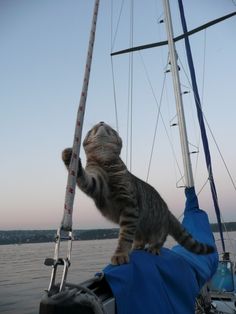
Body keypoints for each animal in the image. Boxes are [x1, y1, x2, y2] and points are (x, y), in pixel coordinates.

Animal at [61, 121, 215, 264]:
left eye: (112, 129)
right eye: (91, 130)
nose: (101, 121)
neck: (105, 160)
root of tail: (168, 212)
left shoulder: (129, 204)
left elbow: (124, 237)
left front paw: (120, 254)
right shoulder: (95, 183)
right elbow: (83, 176)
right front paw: (69, 157)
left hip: (158, 228)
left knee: (160, 239)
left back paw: (154, 247)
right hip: (140, 227)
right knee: (140, 237)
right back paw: (139, 245)